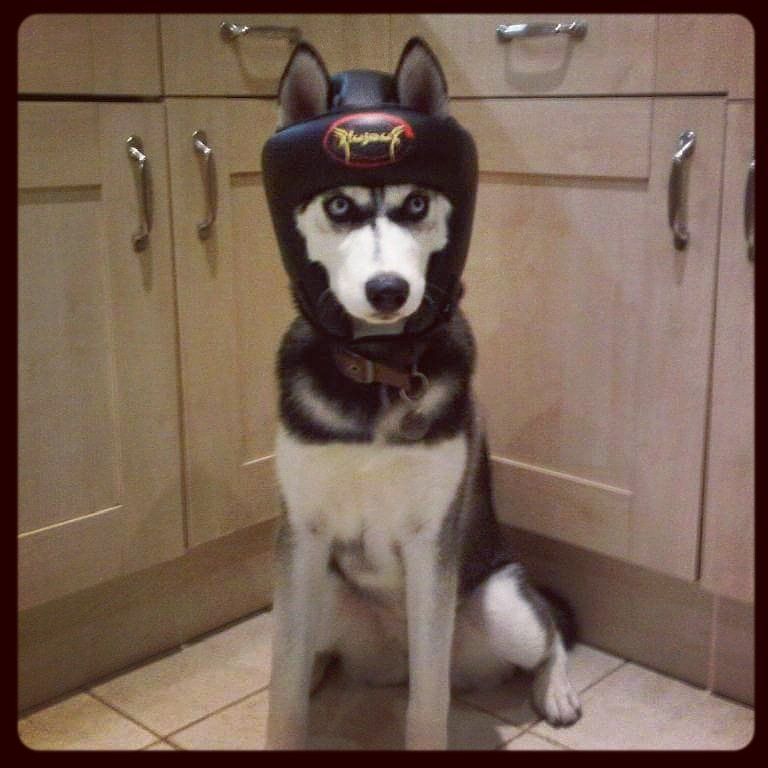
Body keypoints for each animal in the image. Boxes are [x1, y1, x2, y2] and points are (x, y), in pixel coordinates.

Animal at [264, 38, 582, 751]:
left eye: (416, 204)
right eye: (339, 206)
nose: (388, 291)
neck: (377, 373)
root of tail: (389, 659)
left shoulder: (431, 539)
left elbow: (430, 703)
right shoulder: (303, 535)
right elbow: (283, 689)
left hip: (502, 604)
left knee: (548, 635)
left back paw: (555, 689)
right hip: (322, 593)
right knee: (309, 651)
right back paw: (323, 671)